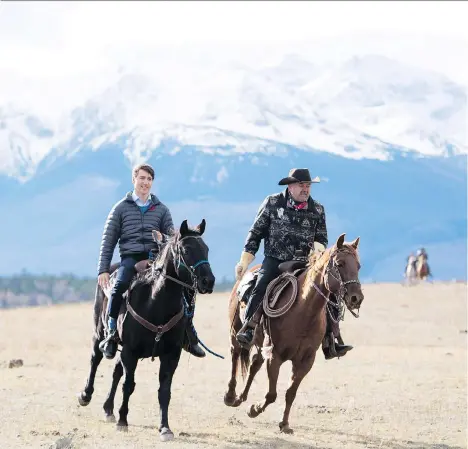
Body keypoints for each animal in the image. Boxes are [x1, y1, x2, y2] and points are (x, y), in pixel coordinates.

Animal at [77, 219, 216, 440]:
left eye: (206, 249)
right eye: (186, 249)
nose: (208, 281)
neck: (155, 302)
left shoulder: (171, 354)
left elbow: (164, 391)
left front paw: (165, 428)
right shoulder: (130, 351)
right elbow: (129, 385)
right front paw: (123, 421)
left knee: (116, 371)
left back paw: (108, 409)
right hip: (99, 332)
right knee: (95, 359)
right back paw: (86, 395)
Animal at [225, 233, 364, 432]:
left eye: (358, 266)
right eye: (339, 264)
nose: (356, 298)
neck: (304, 312)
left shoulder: (305, 361)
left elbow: (290, 393)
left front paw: (284, 424)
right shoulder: (275, 355)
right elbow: (272, 394)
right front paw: (255, 409)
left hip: (261, 343)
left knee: (254, 364)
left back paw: (240, 398)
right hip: (236, 333)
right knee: (235, 355)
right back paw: (230, 396)